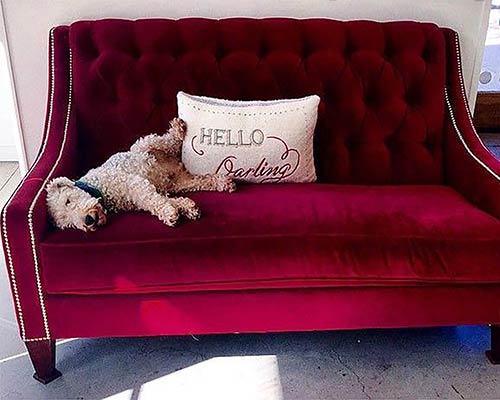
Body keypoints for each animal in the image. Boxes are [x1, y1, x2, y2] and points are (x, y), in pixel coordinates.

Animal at [46, 117, 235, 231]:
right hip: (181, 183)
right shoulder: (139, 197)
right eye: (68, 225)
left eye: (68, 201)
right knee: (203, 180)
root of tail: (174, 166)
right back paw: (224, 182)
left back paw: (178, 128)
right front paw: (185, 208)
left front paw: (170, 213)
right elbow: (165, 201)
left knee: (169, 141)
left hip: (147, 145)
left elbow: (154, 201)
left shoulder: (135, 185)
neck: (98, 188)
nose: (88, 221)